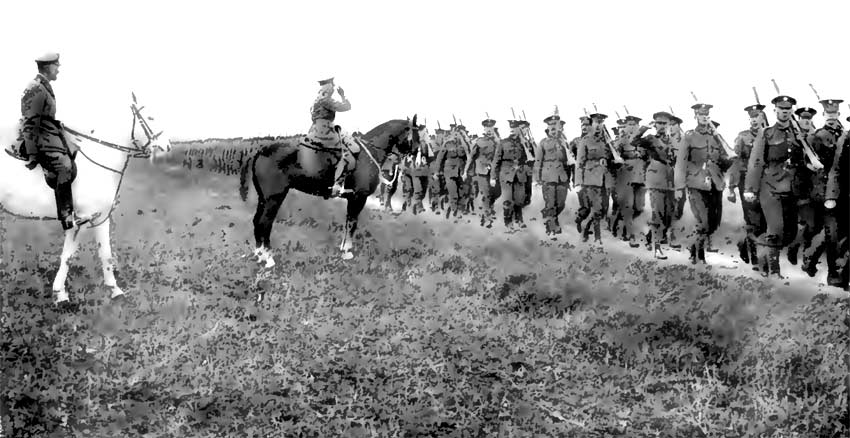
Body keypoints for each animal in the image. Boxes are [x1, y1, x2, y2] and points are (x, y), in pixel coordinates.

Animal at [0, 94, 169, 302]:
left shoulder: (96, 218)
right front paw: (62, 295)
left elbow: (100, 254)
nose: (167, 146)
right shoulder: (84, 220)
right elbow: (72, 256)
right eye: (151, 117)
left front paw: (113, 291)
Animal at [238, 116, 418, 266]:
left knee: (257, 222)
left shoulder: (354, 199)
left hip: (264, 198)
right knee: (265, 223)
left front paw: (344, 248)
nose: (416, 159)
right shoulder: (358, 198)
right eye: (418, 135)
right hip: (274, 198)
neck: (370, 151)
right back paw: (269, 259)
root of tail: (261, 151)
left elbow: (348, 223)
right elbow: (352, 223)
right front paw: (347, 252)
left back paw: (259, 255)